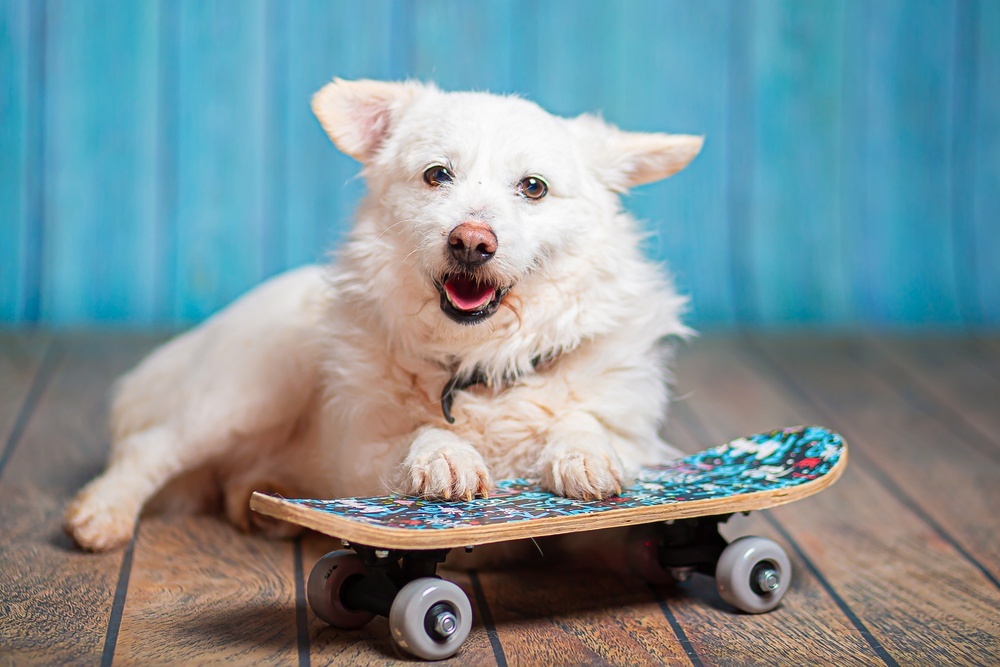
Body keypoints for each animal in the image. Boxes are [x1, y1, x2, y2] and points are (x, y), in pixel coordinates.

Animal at [64, 78, 704, 552]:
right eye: (437, 174)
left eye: (534, 187)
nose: (471, 242)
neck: (479, 364)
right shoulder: (360, 460)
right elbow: (417, 433)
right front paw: (445, 453)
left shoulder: (642, 441)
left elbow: (585, 422)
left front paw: (583, 453)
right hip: (245, 394)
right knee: (148, 449)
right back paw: (103, 513)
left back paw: (262, 499)